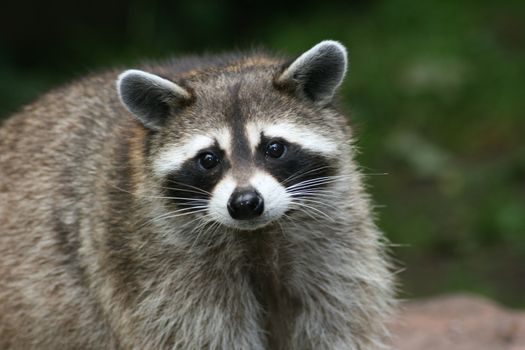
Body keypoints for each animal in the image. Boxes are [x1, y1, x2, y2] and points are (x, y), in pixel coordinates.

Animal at [0, 41, 392, 350]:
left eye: (274, 149)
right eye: (208, 159)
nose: (245, 204)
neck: (258, 237)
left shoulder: (334, 240)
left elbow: (336, 318)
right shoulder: (149, 264)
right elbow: (199, 334)